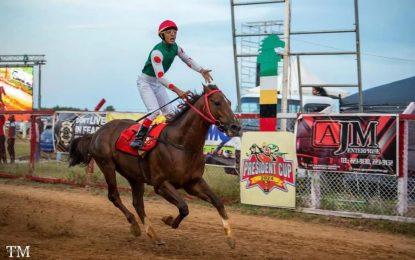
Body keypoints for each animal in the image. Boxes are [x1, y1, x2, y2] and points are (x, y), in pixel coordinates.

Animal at [69, 85, 240, 248]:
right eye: (217, 102)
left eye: (229, 102)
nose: (236, 126)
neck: (182, 145)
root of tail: (96, 133)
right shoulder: (160, 184)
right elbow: (184, 207)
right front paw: (168, 219)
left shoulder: (193, 183)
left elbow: (217, 202)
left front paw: (231, 238)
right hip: (107, 165)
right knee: (114, 196)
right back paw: (135, 225)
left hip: (134, 176)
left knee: (138, 203)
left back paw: (153, 235)